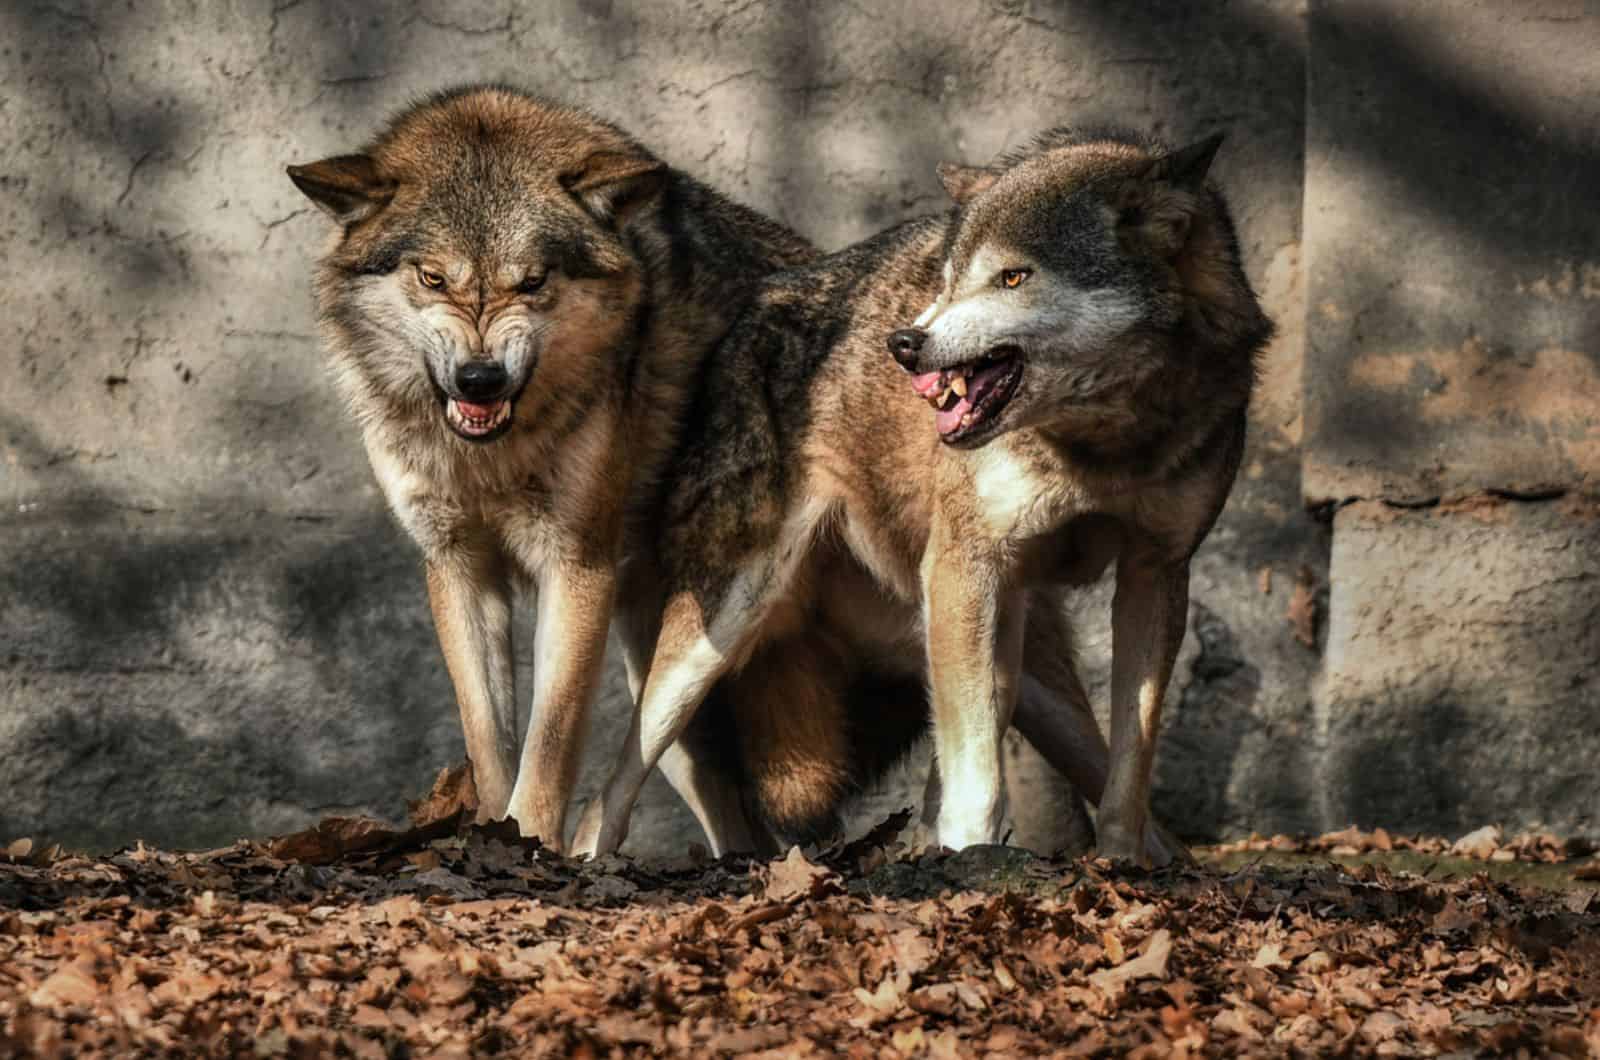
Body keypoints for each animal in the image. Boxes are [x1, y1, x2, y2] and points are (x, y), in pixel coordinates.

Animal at [283, 85, 819, 858]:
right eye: (433, 277)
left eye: (532, 281)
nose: (480, 379)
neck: (492, 458)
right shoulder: (458, 565)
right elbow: (487, 740)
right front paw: (490, 836)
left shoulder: (576, 564)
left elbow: (552, 741)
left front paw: (532, 842)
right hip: (667, 684)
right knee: (729, 816)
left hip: (705, 631)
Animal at [569, 128, 1267, 871]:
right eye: (950, 276)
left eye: (1013, 277)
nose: (905, 342)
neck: (1104, 447)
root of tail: (755, 302)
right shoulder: (966, 564)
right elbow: (977, 777)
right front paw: (968, 863)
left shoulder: (1154, 573)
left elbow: (1130, 769)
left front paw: (1118, 862)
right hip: (720, 631)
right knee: (613, 785)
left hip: (1020, 668)